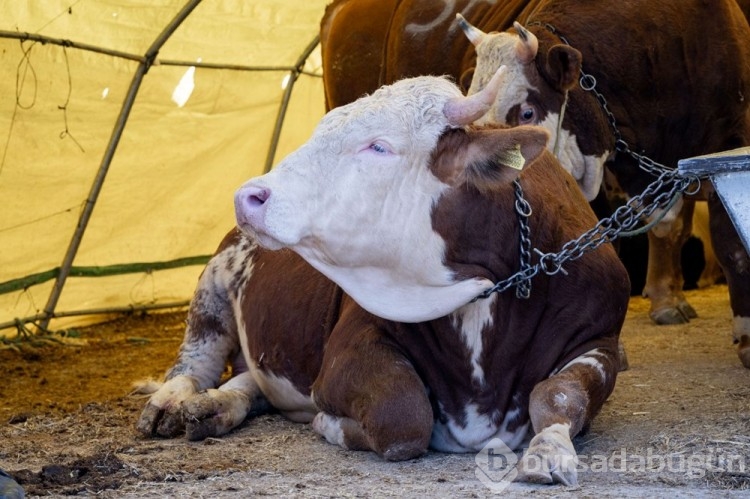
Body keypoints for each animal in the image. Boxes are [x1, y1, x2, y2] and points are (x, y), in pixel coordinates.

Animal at [138, 70, 632, 484]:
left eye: (378, 146)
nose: (248, 196)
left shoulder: (599, 338)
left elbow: (560, 393)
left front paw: (548, 451)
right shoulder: (350, 345)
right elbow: (403, 414)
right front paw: (328, 422)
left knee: (250, 382)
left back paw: (216, 407)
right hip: (212, 285)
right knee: (195, 362)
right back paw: (173, 402)